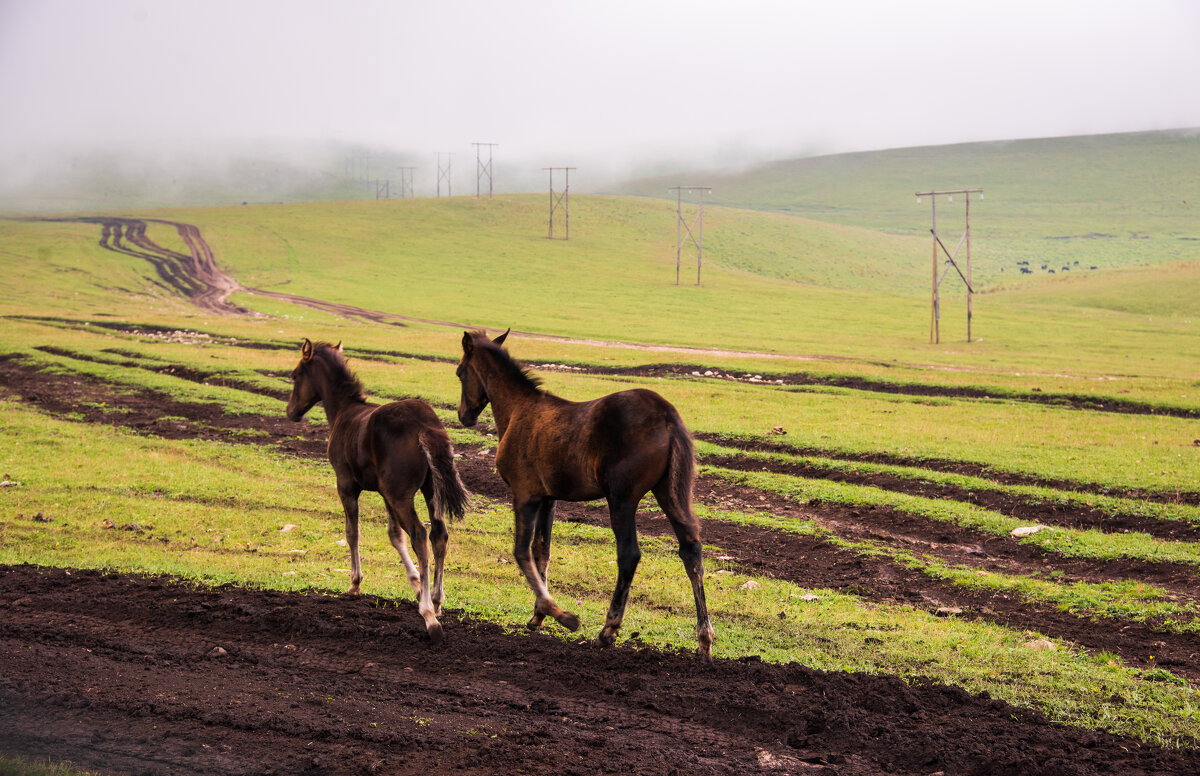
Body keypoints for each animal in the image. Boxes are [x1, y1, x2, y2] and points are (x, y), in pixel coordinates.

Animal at [285, 340, 468, 642]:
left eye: (296, 375)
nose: (291, 412)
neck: (344, 412)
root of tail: (424, 424)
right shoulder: (384, 493)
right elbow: (394, 535)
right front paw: (416, 583)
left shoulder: (346, 485)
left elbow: (352, 532)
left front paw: (355, 583)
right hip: (430, 490)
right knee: (439, 535)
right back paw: (437, 600)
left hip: (401, 495)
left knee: (420, 535)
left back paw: (429, 615)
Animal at [451, 331, 710, 657]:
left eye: (460, 372)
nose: (464, 416)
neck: (518, 410)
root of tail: (667, 415)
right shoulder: (548, 499)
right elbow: (542, 551)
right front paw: (538, 615)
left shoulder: (524, 495)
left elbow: (521, 552)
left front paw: (563, 616)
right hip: (669, 493)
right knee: (691, 549)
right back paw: (704, 639)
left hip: (622, 498)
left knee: (629, 554)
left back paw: (608, 629)